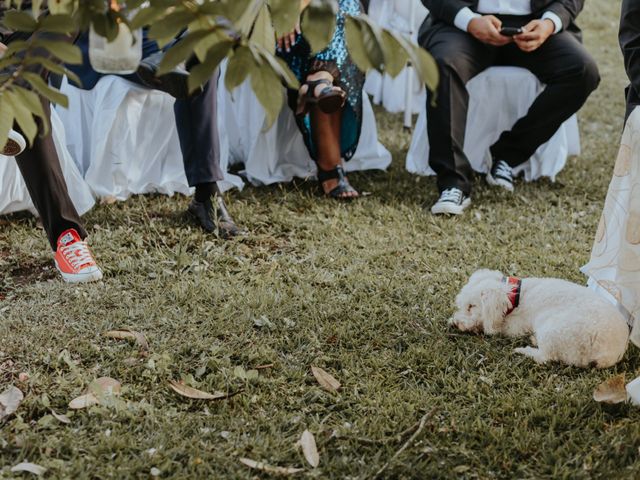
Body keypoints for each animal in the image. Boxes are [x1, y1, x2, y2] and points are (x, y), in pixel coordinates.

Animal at [450, 270, 632, 368]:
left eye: (471, 306)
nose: (455, 324)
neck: (516, 296)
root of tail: (609, 354)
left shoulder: (513, 326)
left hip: (553, 330)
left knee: (545, 357)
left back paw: (525, 349)